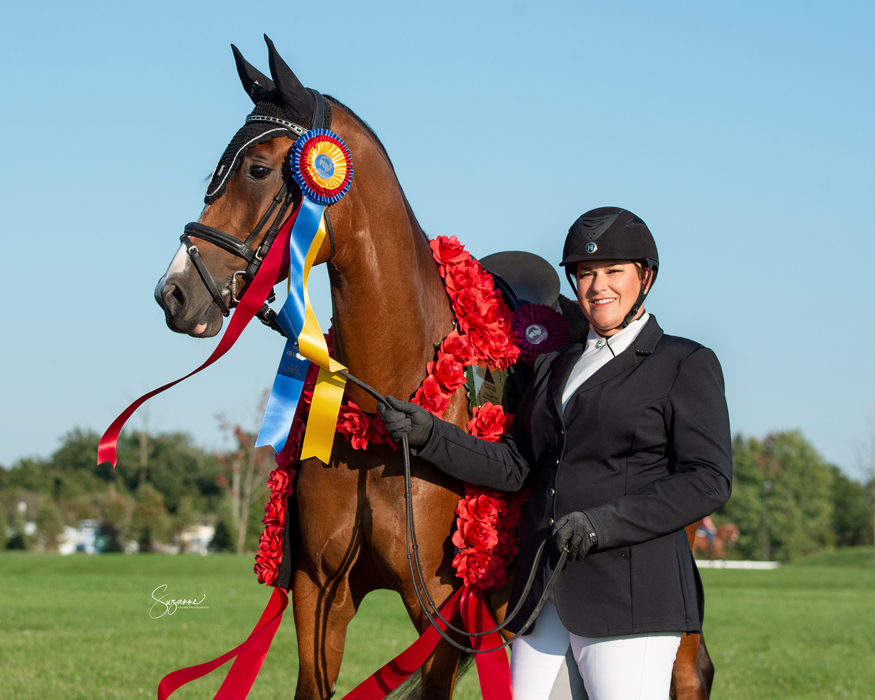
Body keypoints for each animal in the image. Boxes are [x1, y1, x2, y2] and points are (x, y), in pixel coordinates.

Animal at [154, 36, 715, 700]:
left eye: (258, 170)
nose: (174, 293)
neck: (381, 410)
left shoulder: (443, 610)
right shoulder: (320, 595)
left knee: (687, 672)